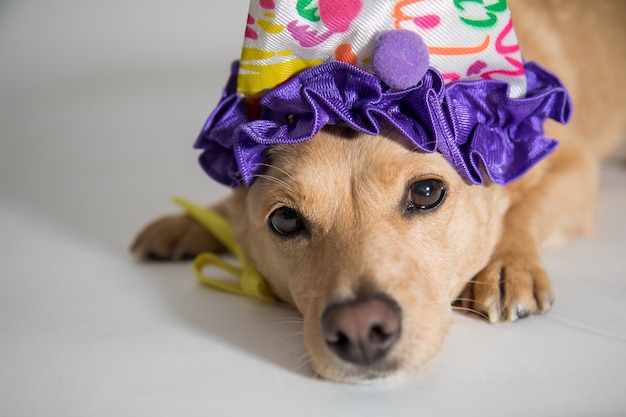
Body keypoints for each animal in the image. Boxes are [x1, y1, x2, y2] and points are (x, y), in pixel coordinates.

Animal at [130, 0, 624, 382]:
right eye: (285, 219)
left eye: (426, 192)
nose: (360, 329)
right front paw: (186, 222)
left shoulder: (576, 167)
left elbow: (522, 211)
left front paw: (506, 264)